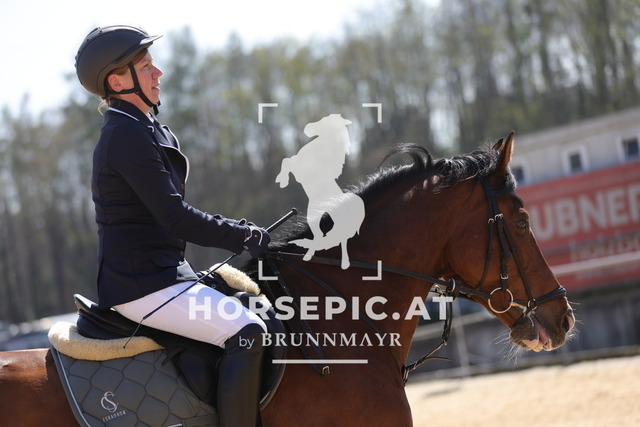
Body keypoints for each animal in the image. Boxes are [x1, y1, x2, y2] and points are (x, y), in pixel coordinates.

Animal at [275, 113, 365, 269]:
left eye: (324, 122)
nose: (307, 128)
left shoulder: (301, 169)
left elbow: (287, 160)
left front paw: (282, 180)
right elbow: (288, 160)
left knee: (340, 239)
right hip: (314, 217)